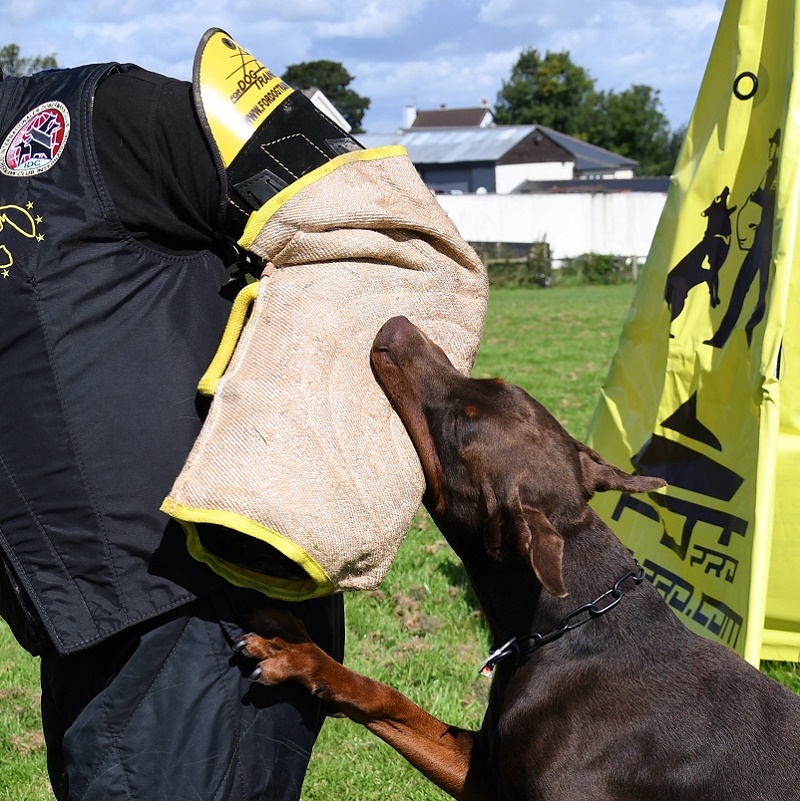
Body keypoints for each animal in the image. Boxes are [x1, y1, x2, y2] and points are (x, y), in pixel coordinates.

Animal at [234, 316, 800, 796]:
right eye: (498, 384)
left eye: (460, 427)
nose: (397, 326)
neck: (569, 624)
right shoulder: (483, 773)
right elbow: (392, 701)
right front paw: (301, 653)